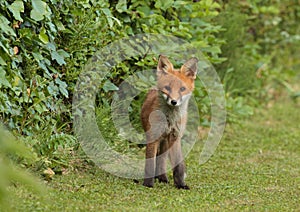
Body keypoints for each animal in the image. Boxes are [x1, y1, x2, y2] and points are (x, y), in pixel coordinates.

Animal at [141, 54, 198, 189]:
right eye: (167, 88)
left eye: (182, 89)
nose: (174, 102)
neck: (170, 120)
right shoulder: (153, 136)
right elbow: (150, 164)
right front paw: (148, 184)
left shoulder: (175, 137)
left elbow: (178, 166)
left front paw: (181, 184)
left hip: (166, 142)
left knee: (161, 160)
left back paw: (162, 178)